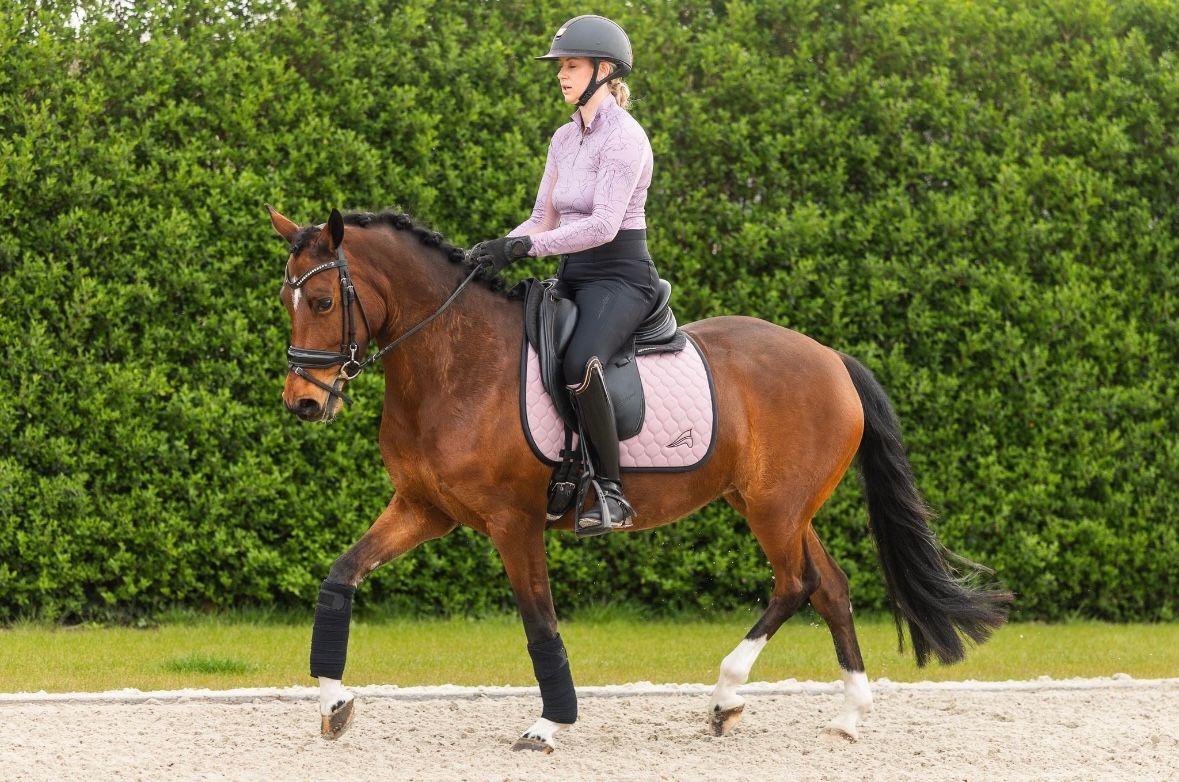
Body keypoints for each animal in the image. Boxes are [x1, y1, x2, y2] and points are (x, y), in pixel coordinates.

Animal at [268, 206, 1011, 752]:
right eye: (286, 298)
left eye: (326, 300)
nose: (303, 403)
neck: (456, 363)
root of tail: (831, 357)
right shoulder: (425, 508)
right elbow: (341, 575)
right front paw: (334, 701)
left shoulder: (513, 522)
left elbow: (539, 620)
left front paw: (549, 723)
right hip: (779, 506)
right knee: (829, 585)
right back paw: (847, 714)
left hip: (774, 509)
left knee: (796, 584)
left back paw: (726, 695)